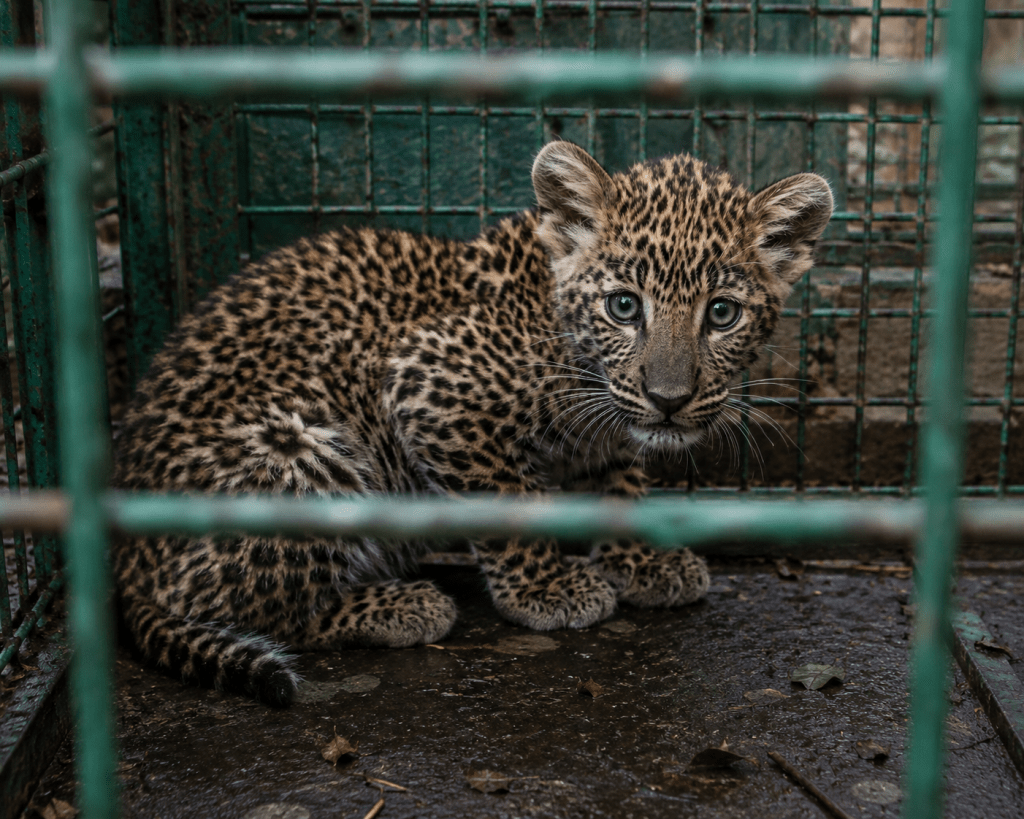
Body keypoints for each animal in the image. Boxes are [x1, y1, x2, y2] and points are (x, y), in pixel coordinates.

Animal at [112, 140, 833, 706]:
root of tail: (123, 557)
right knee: (240, 606)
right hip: (303, 451)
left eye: (722, 313)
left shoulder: (603, 426)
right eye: (624, 306)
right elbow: (511, 502)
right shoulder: (430, 387)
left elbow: (618, 478)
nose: (670, 399)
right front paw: (547, 589)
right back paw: (401, 604)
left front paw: (639, 560)